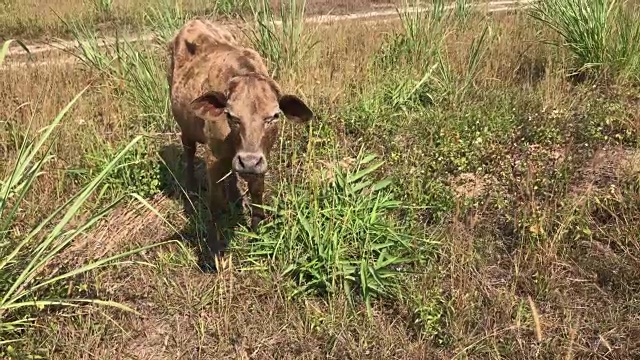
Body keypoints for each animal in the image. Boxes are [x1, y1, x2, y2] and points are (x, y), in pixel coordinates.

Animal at [166, 17, 314, 258]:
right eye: (230, 115)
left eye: (274, 116)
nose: (248, 161)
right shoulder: (213, 158)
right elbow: (215, 204)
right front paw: (214, 250)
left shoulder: (261, 159)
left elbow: (257, 193)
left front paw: (256, 232)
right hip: (184, 124)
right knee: (188, 150)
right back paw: (191, 186)